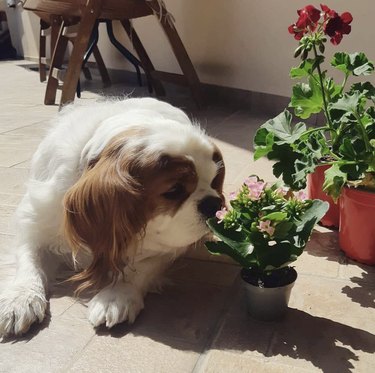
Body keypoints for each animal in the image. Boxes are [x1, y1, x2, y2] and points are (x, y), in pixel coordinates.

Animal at [0, 97, 225, 336]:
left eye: (214, 181)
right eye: (174, 191)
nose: (214, 204)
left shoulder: (169, 247)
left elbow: (141, 268)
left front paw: (116, 296)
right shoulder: (36, 222)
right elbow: (29, 259)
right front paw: (20, 297)